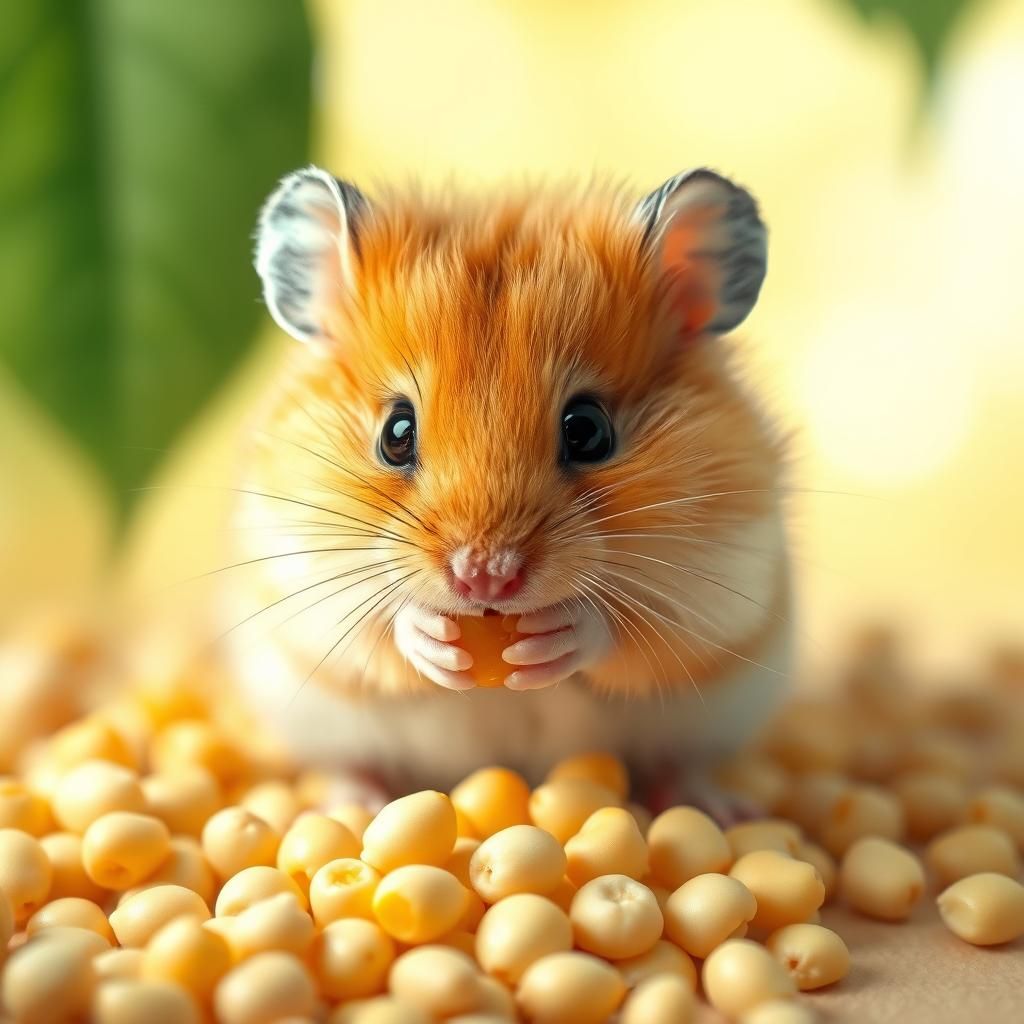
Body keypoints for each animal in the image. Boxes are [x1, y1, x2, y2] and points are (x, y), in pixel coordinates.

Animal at [227, 166, 790, 810]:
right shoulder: (297, 575)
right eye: (396, 433)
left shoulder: (727, 577)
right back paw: (354, 800)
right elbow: (380, 628)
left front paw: (555, 636)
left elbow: (630, 632)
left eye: (588, 430)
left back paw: (713, 804)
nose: (484, 579)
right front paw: (432, 637)